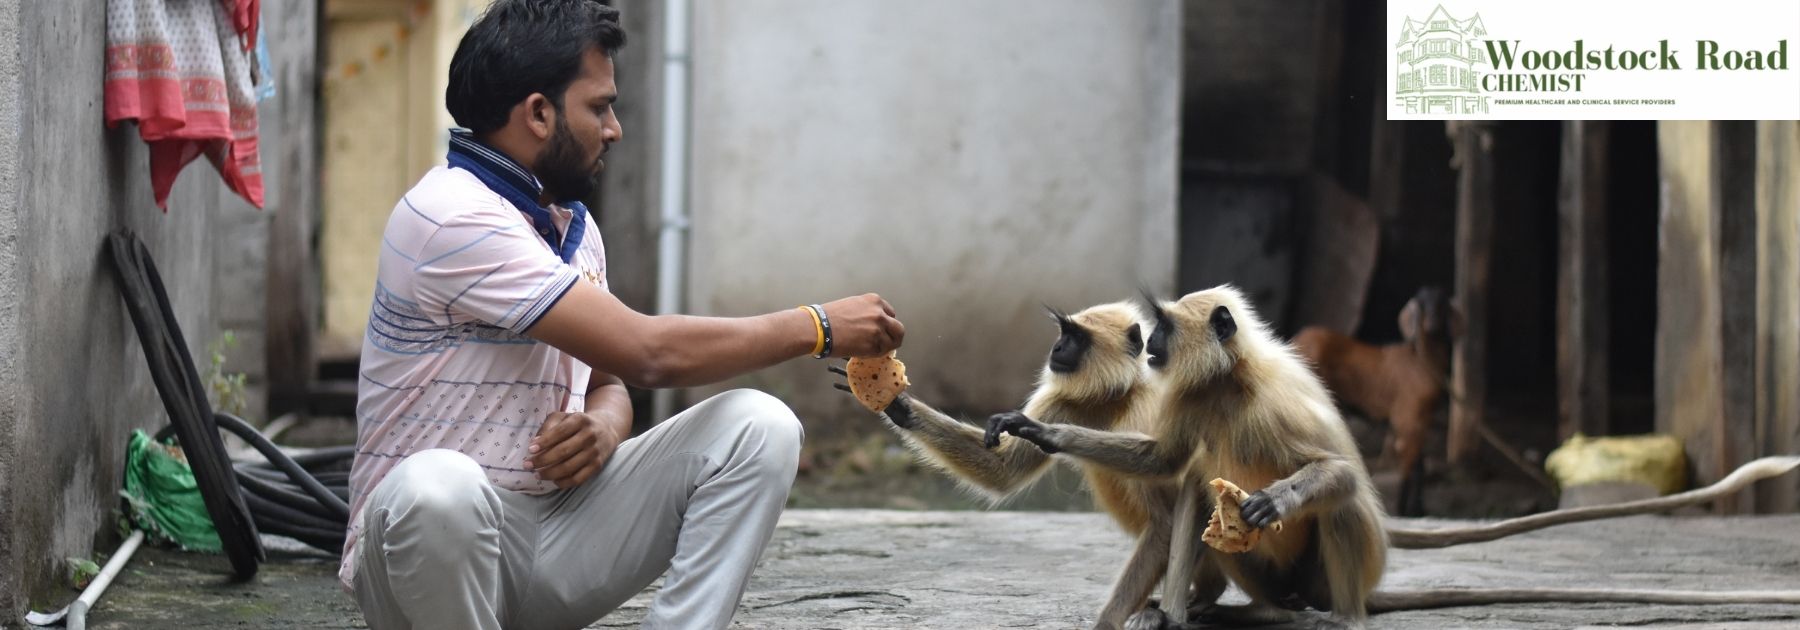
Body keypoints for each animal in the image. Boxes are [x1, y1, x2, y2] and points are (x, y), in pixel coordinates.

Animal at [1291, 286, 1459, 516]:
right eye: (1423, 304)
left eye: (1442, 305)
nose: (1432, 324)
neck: (1421, 362)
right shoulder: (1407, 416)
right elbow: (1408, 463)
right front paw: (1403, 509)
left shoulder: (1422, 418)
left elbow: (1419, 463)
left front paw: (1418, 508)